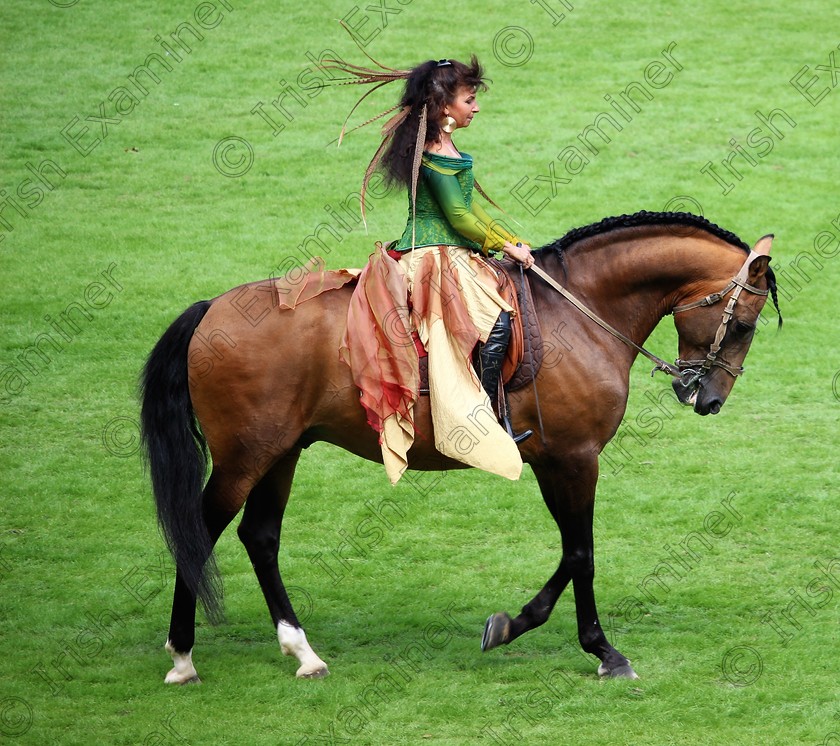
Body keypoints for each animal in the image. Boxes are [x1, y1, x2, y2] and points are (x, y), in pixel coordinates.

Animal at [139, 208, 780, 680]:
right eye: (744, 325)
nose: (709, 398)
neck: (582, 308)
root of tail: (212, 308)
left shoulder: (552, 462)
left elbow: (571, 553)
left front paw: (516, 626)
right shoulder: (575, 460)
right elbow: (581, 553)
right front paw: (597, 648)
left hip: (282, 451)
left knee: (260, 536)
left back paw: (303, 652)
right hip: (246, 457)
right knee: (200, 530)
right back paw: (183, 655)